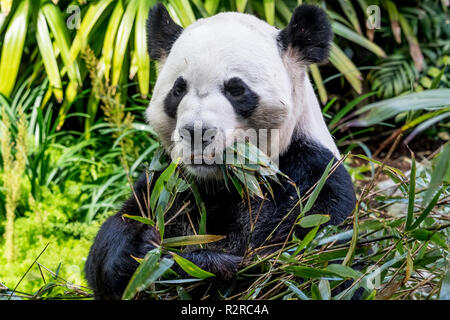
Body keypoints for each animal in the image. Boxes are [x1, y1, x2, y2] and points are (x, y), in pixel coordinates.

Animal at [86, 3, 356, 300]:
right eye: (178, 90)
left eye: (236, 89)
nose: (196, 132)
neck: (222, 182)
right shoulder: (169, 182)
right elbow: (115, 238)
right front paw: (146, 250)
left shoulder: (311, 178)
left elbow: (296, 264)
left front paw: (200, 265)